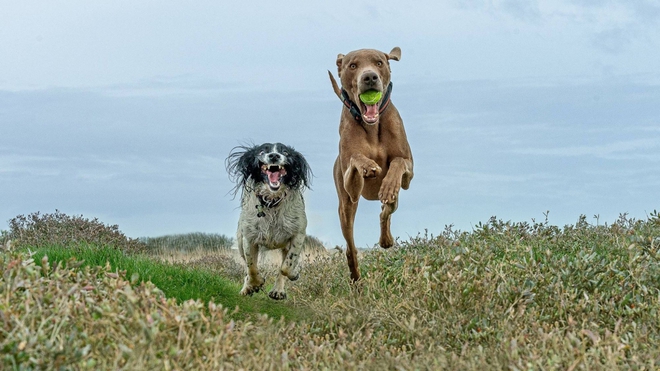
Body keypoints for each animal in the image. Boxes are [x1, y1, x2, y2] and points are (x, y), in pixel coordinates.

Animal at [226, 141, 314, 300]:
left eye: (285, 152)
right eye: (262, 151)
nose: (274, 156)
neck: (272, 201)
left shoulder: (298, 234)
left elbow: (286, 266)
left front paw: (293, 274)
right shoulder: (249, 238)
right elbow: (252, 268)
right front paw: (256, 283)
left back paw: (278, 291)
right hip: (240, 240)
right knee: (247, 267)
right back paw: (247, 287)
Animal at [328, 48, 416, 284]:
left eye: (379, 63)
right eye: (352, 66)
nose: (369, 77)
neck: (372, 126)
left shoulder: (408, 174)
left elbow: (398, 162)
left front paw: (388, 184)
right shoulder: (351, 185)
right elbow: (356, 158)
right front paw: (368, 165)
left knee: (386, 211)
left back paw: (386, 239)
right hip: (345, 208)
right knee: (350, 248)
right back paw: (356, 279)